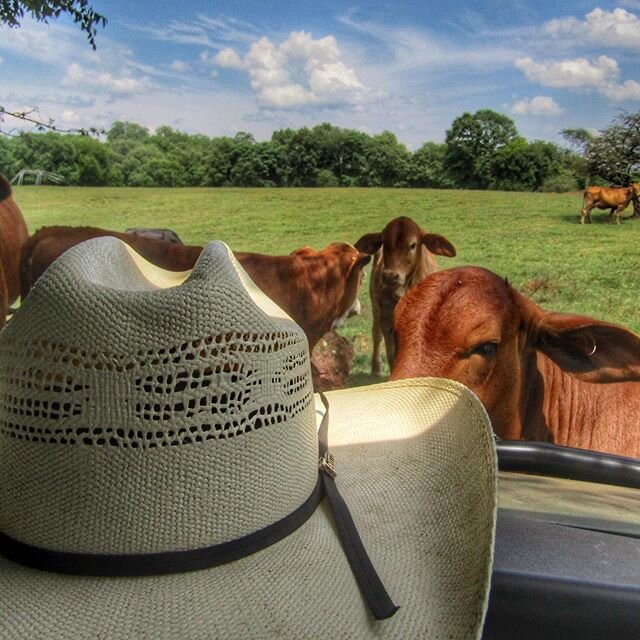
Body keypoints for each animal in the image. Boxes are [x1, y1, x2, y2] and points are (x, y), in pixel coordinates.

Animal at [356, 215, 456, 376]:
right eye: (384, 243)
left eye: (413, 245)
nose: (390, 276)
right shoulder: (387, 319)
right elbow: (391, 354)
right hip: (375, 307)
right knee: (376, 335)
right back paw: (376, 368)